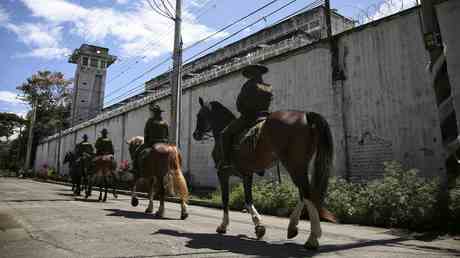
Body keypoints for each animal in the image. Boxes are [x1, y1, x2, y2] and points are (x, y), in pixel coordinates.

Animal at [192, 98, 336, 249]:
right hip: (299, 167)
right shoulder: (247, 174)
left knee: (307, 195)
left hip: (294, 166)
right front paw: (259, 227)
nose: (195, 134)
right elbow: (248, 200)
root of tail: (305, 115)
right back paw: (292, 228)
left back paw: (312, 238)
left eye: (199, 115)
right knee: (304, 195)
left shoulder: (223, 174)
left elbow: (226, 200)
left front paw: (223, 226)